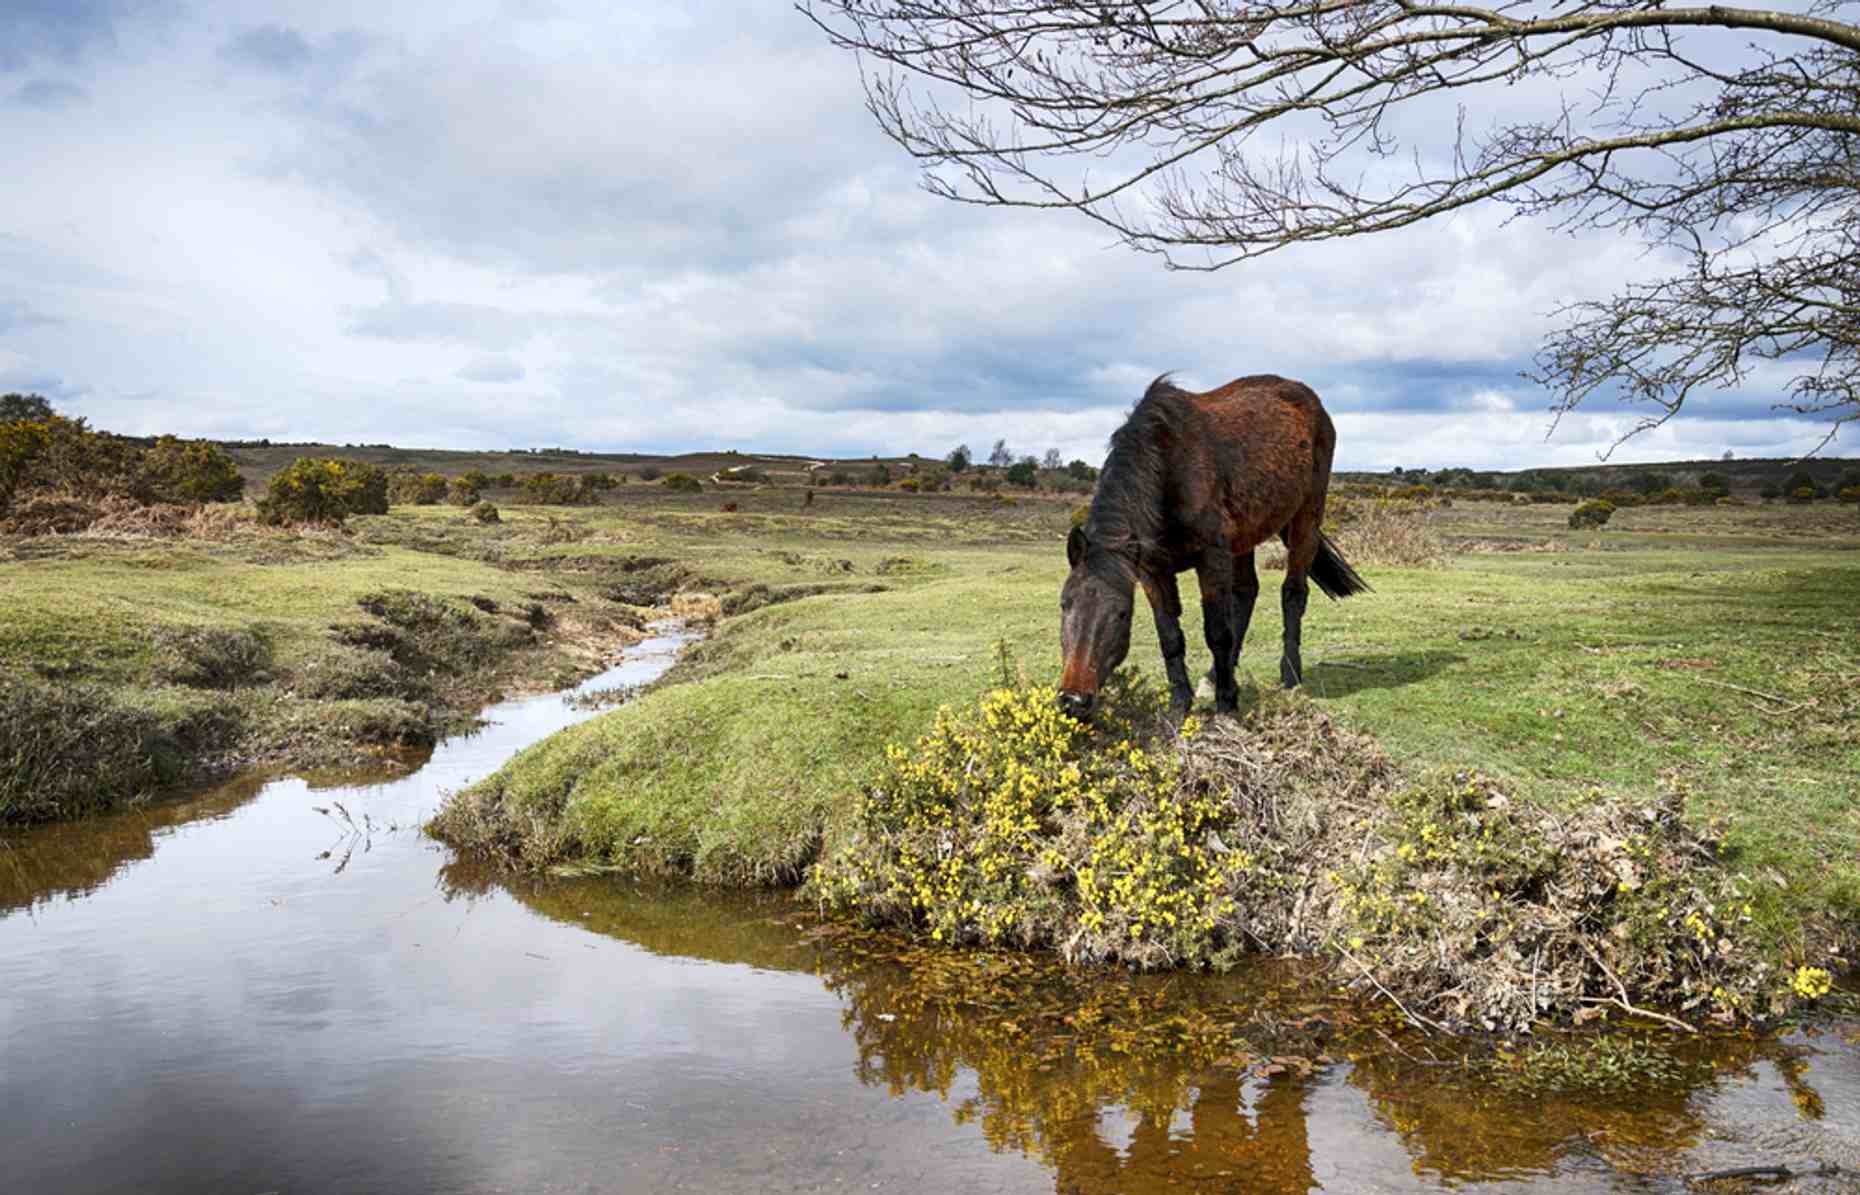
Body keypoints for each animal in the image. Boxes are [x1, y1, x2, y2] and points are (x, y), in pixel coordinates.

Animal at [1058, 374, 1369, 720]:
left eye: (1122, 614)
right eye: (1064, 605)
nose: (1074, 700)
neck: (1168, 468)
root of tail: (1310, 400)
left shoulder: (1211, 558)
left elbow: (1218, 632)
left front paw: (1226, 703)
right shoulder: (1151, 570)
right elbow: (1169, 636)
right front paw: (1180, 703)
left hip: (1305, 519)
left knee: (1293, 594)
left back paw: (1289, 676)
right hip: (1246, 537)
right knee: (1247, 592)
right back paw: (1214, 677)